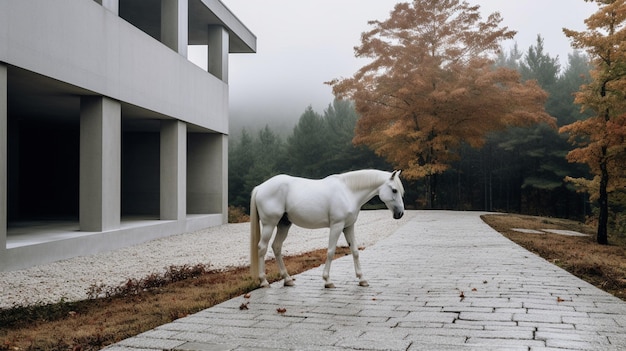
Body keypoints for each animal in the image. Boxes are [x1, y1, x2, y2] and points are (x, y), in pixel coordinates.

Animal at [249, 170, 404, 288]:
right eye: (394, 190)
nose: (400, 214)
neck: (348, 191)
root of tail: (260, 187)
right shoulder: (337, 225)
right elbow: (330, 251)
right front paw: (327, 280)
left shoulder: (348, 226)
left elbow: (355, 251)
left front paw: (362, 279)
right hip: (269, 224)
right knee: (262, 248)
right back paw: (264, 281)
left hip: (284, 224)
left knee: (276, 247)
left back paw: (287, 279)